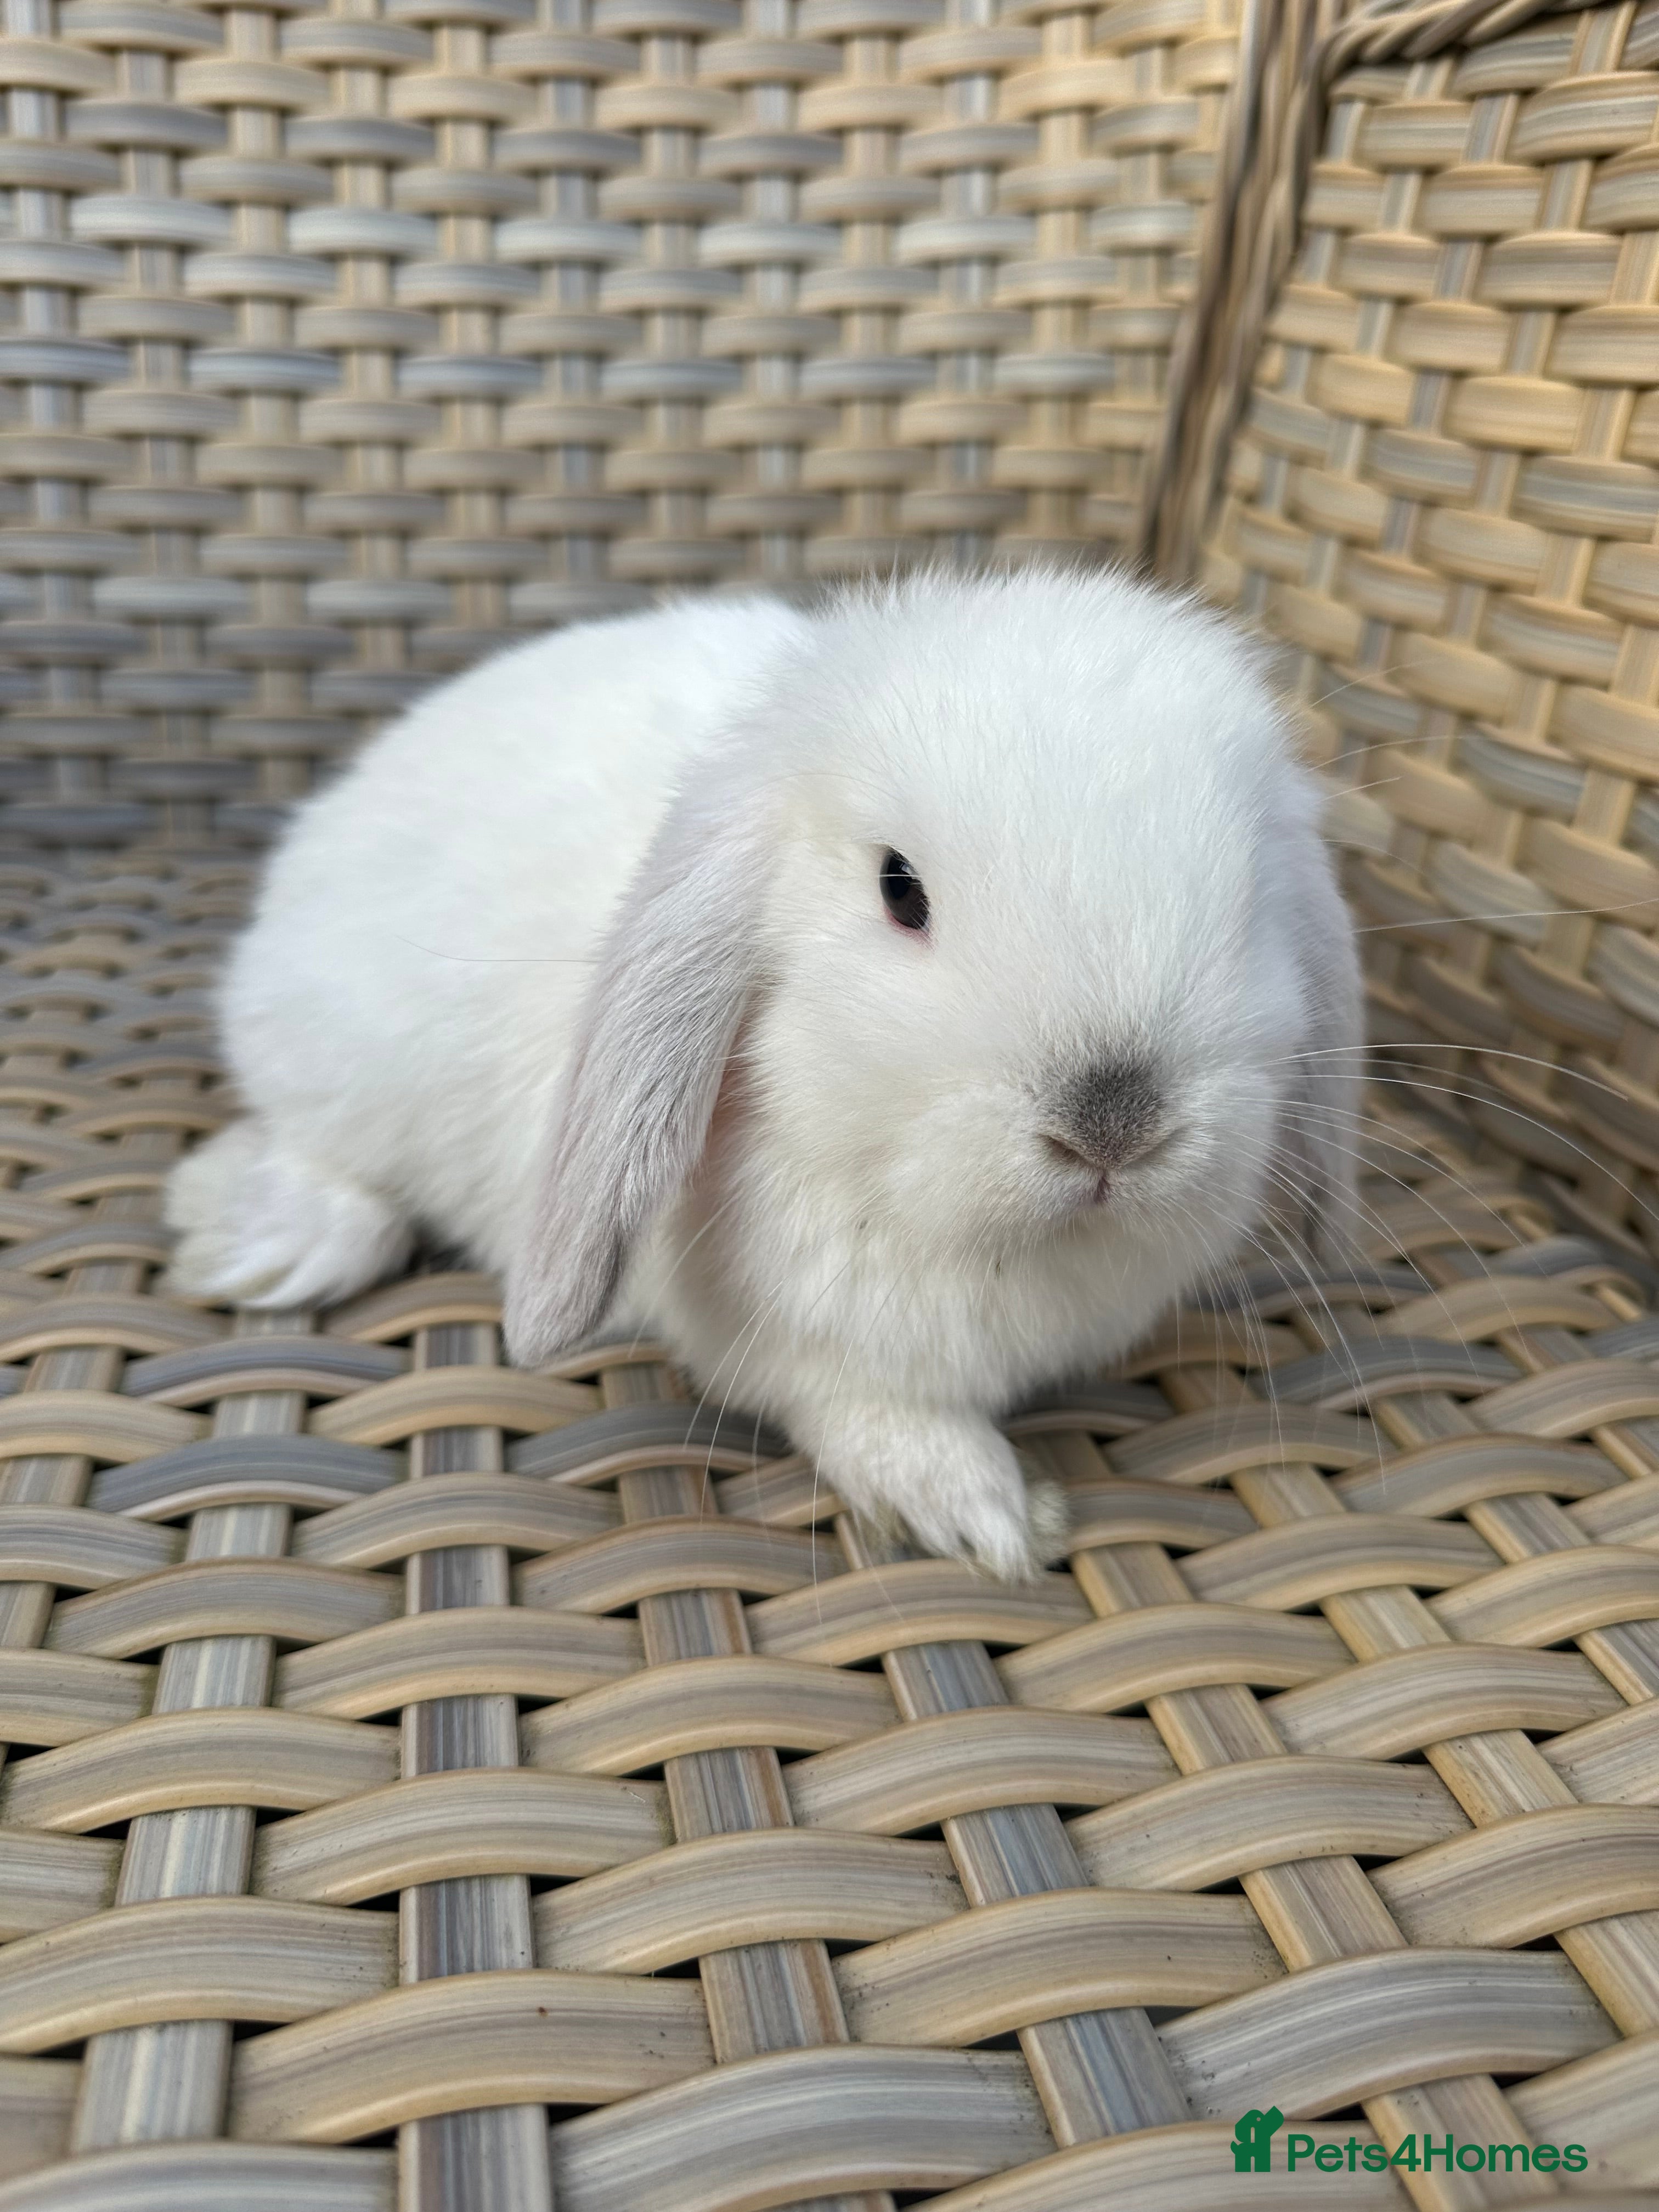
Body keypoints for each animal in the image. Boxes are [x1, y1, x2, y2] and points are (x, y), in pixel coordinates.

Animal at [167, 568, 1363, 1579]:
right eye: (899, 889)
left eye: (1249, 898)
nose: (1115, 1121)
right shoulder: (788, 1343)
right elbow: (866, 1411)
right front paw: (981, 1514)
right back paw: (255, 1243)